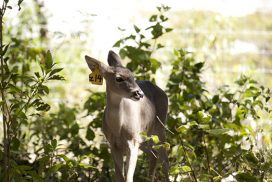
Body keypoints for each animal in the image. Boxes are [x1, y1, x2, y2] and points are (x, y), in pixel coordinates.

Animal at [84, 50, 169, 182]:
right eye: (119, 78)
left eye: (133, 77)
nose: (139, 93)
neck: (118, 128)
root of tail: (163, 92)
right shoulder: (113, 145)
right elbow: (119, 177)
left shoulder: (132, 142)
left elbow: (128, 178)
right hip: (144, 138)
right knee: (154, 155)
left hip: (159, 128)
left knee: (165, 161)